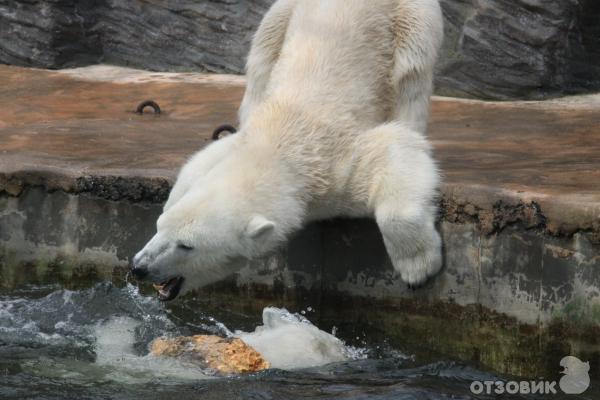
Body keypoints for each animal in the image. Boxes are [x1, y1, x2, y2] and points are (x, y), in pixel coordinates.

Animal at [131, 0, 442, 300]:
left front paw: (418, 269)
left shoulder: (338, 162)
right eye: (159, 225)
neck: (282, 137)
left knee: (411, 70)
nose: (139, 267)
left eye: (187, 245)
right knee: (262, 56)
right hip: (283, 14)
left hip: (408, 16)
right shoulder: (240, 143)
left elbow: (396, 147)